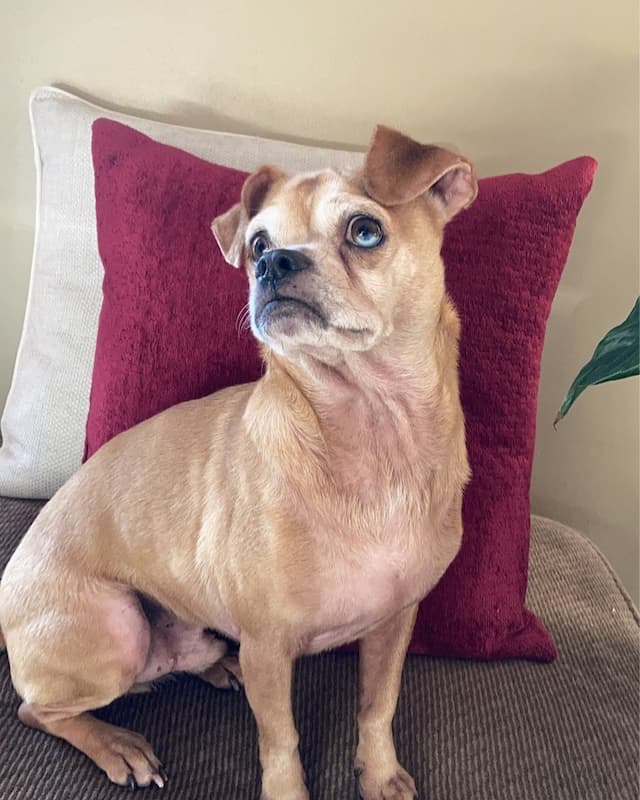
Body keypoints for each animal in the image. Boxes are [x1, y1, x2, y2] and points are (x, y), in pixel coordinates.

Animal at [0, 125, 476, 800]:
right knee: (36, 709)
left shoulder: (394, 623)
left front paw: (379, 775)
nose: (275, 263)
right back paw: (116, 744)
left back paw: (218, 669)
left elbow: (376, 706)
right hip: (117, 631)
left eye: (365, 231)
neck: (371, 428)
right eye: (257, 245)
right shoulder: (269, 648)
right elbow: (281, 742)